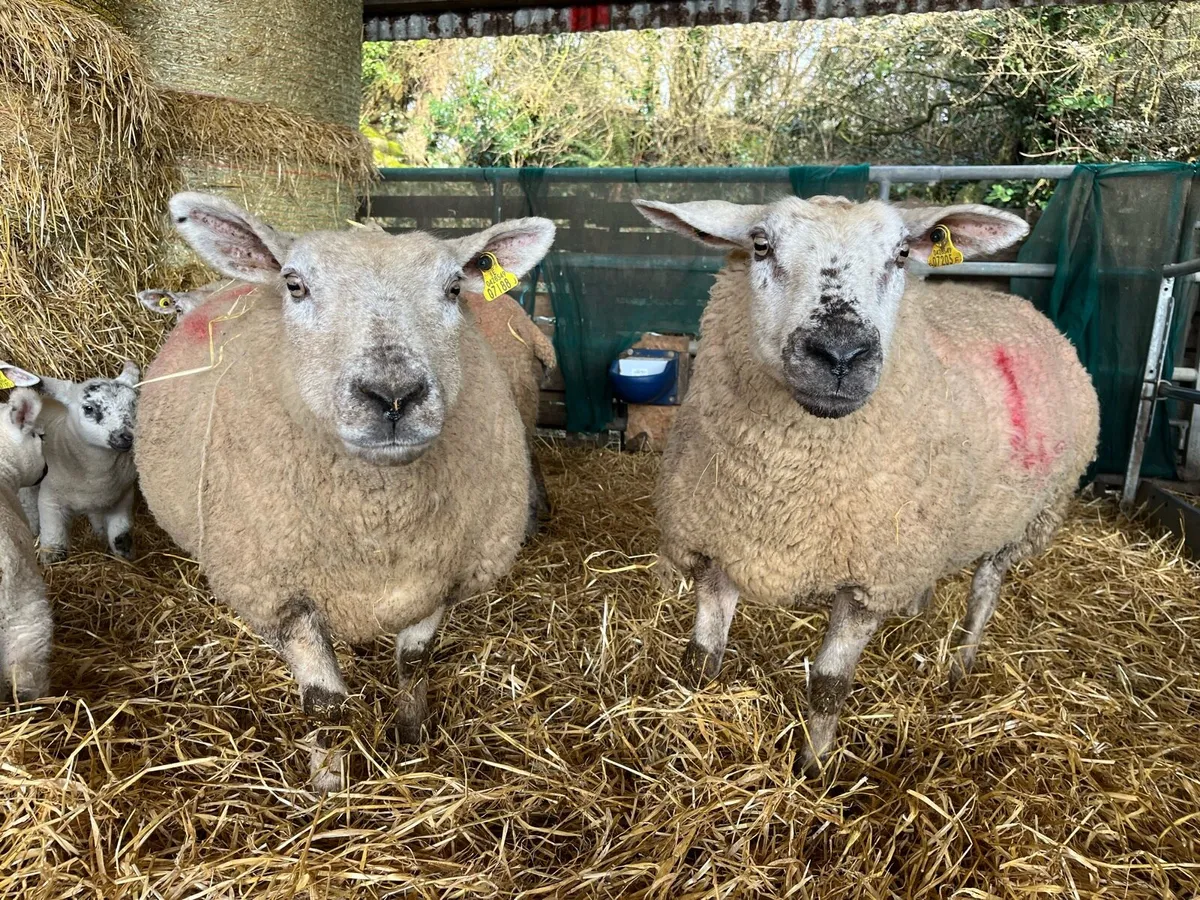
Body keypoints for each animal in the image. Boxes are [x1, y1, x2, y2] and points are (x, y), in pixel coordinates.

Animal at [21, 362, 141, 562]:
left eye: (134, 404)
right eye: (89, 408)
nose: (127, 437)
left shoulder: (124, 495)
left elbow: (120, 533)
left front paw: (123, 550)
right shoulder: (50, 500)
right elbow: (55, 545)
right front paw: (50, 557)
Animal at [134, 191, 555, 790]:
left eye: (454, 288)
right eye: (294, 284)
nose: (394, 396)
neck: (380, 519)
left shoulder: (442, 575)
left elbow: (414, 664)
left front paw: (411, 739)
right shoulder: (279, 596)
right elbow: (324, 704)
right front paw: (331, 787)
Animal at [634, 195, 1100, 776]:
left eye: (901, 254)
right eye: (760, 245)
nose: (840, 355)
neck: (785, 490)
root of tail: (1019, 307)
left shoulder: (868, 581)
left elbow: (830, 685)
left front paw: (813, 770)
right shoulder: (719, 548)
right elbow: (701, 659)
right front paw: (690, 730)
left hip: (1027, 519)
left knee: (985, 590)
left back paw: (961, 663)